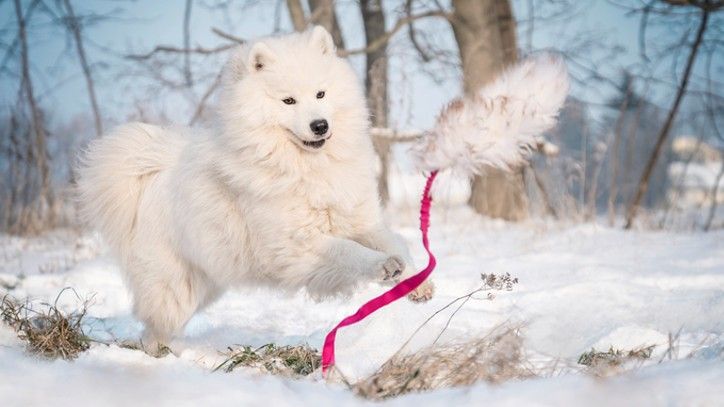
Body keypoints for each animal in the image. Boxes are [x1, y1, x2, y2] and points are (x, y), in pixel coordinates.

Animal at [77, 27, 432, 350]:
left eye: (321, 94)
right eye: (288, 100)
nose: (320, 125)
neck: (305, 168)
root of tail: (149, 171)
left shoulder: (360, 222)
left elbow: (396, 243)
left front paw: (417, 283)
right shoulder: (296, 245)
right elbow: (349, 251)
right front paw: (383, 266)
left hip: (205, 283)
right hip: (174, 289)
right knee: (154, 328)